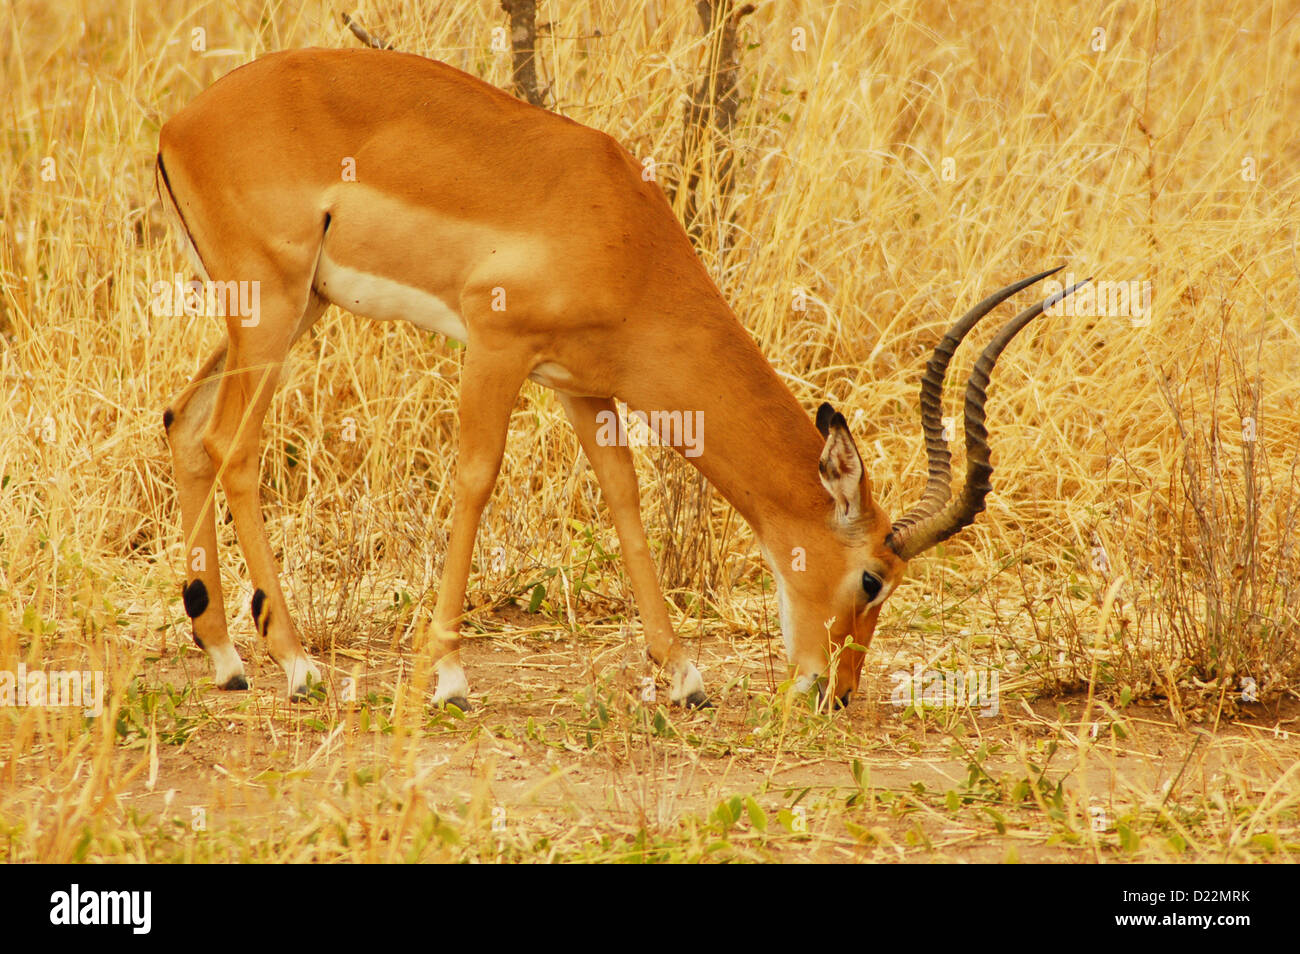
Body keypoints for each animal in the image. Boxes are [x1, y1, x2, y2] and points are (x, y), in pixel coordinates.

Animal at [156, 48, 1085, 709]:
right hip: (274, 307)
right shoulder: (496, 346)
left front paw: (684, 675)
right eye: (872, 578)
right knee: (231, 444)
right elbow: (476, 481)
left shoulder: (583, 386)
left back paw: (226, 657)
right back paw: (297, 665)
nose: (839, 691)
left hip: (288, 309)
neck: (622, 232)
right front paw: (449, 678)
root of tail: (177, 126)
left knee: (183, 424)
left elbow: (625, 497)